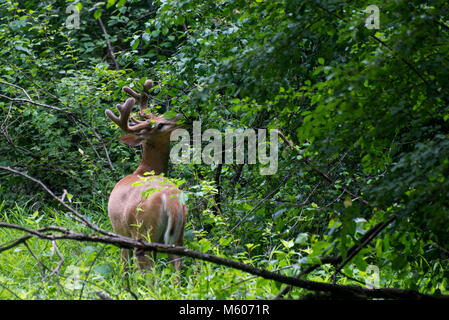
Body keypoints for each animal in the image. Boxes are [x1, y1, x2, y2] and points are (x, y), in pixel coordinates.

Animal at [104, 79, 186, 270]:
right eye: (160, 123)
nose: (180, 117)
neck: (144, 170)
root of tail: (171, 202)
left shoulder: (121, 232)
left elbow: (125, 267)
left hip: (143, 232)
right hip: (178, 236)